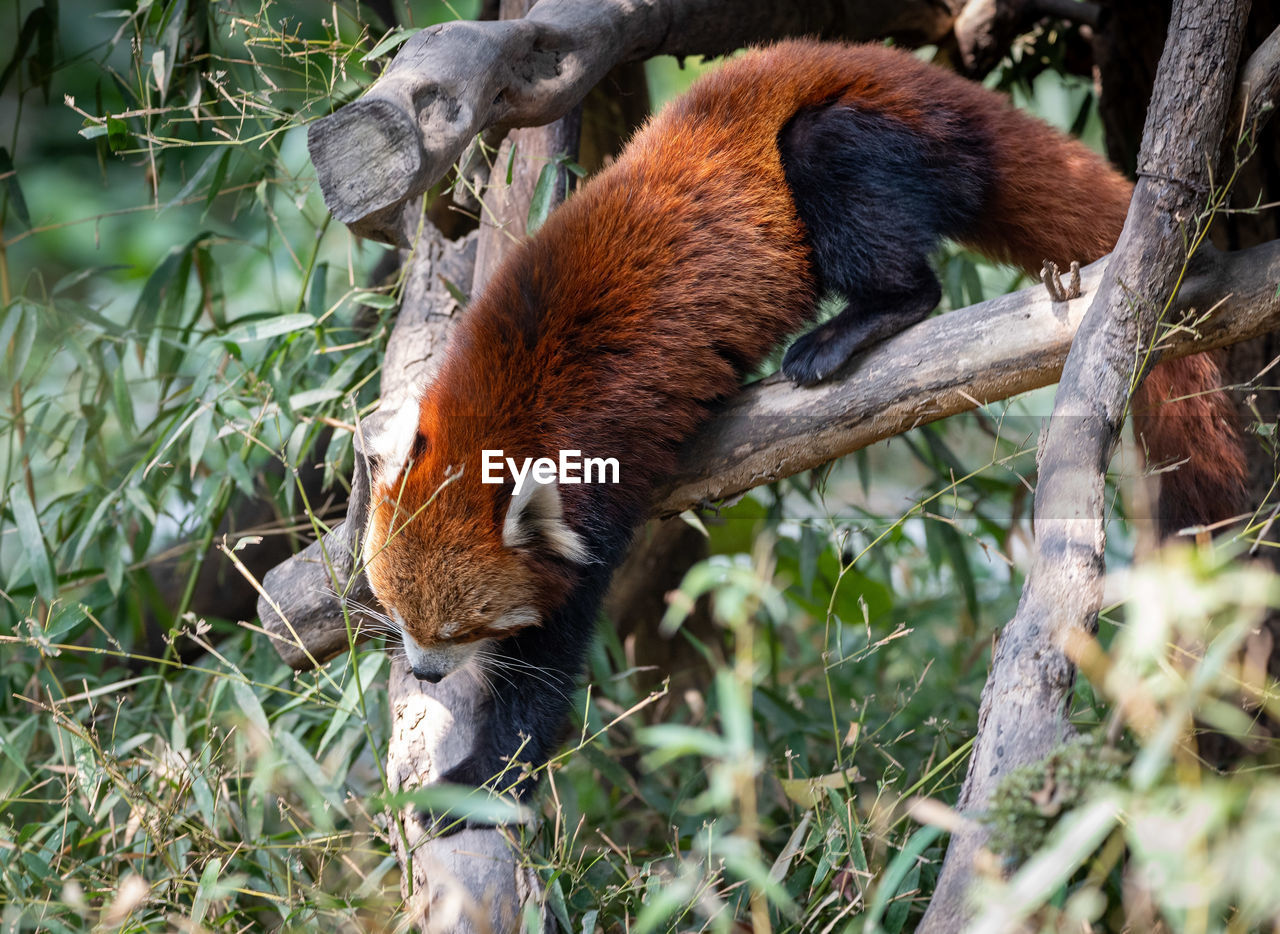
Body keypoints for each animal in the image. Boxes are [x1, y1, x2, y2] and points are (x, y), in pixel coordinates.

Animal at [363, 36, 1249, 823]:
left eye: (463, 628)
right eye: (397, 612)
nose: (427, 673)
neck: (501, 404)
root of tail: (913, 75)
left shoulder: (596, 488)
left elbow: (547, 670)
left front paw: (482, 777)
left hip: (867, 139)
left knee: (861, 208)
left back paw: (850, 328)